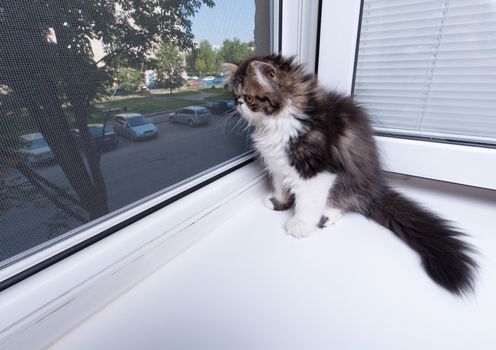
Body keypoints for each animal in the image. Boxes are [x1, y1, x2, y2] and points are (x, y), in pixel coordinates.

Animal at [225, 54, 476, 296]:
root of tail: (376, 189)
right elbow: (280, 186)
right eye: (235, 94)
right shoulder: (278, 164)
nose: (237, 103)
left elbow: (308, 202)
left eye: (248, 97)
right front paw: (278, 203)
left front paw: (300, 225)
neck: (279, 121)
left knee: (344, 203)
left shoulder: (318, 170)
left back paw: (325, 216)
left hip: (348, 185)